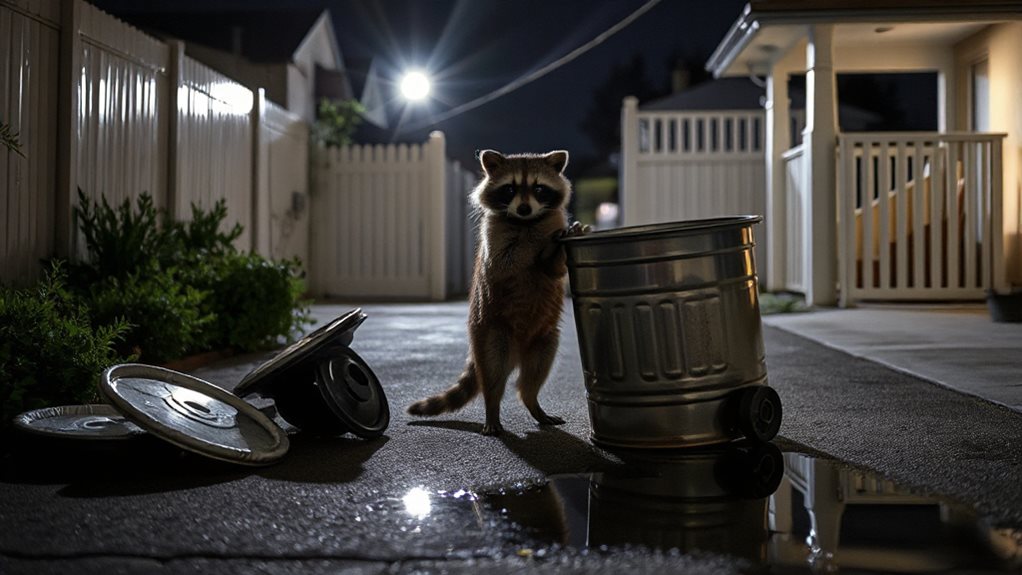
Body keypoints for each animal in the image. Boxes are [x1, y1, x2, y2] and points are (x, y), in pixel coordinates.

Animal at [407, 149, 586, 435]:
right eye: (509, 188)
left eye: (539, 188)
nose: (524, 208)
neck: (526, 222)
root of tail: (518, 351)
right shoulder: (493, 238)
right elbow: (506, 261)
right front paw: (542, 244)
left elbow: (554, 270)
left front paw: (555, 249)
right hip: (490, 333)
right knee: (493, 374)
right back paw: (492, 409)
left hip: (544, 338)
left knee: (533, 375)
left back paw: (533, 402)